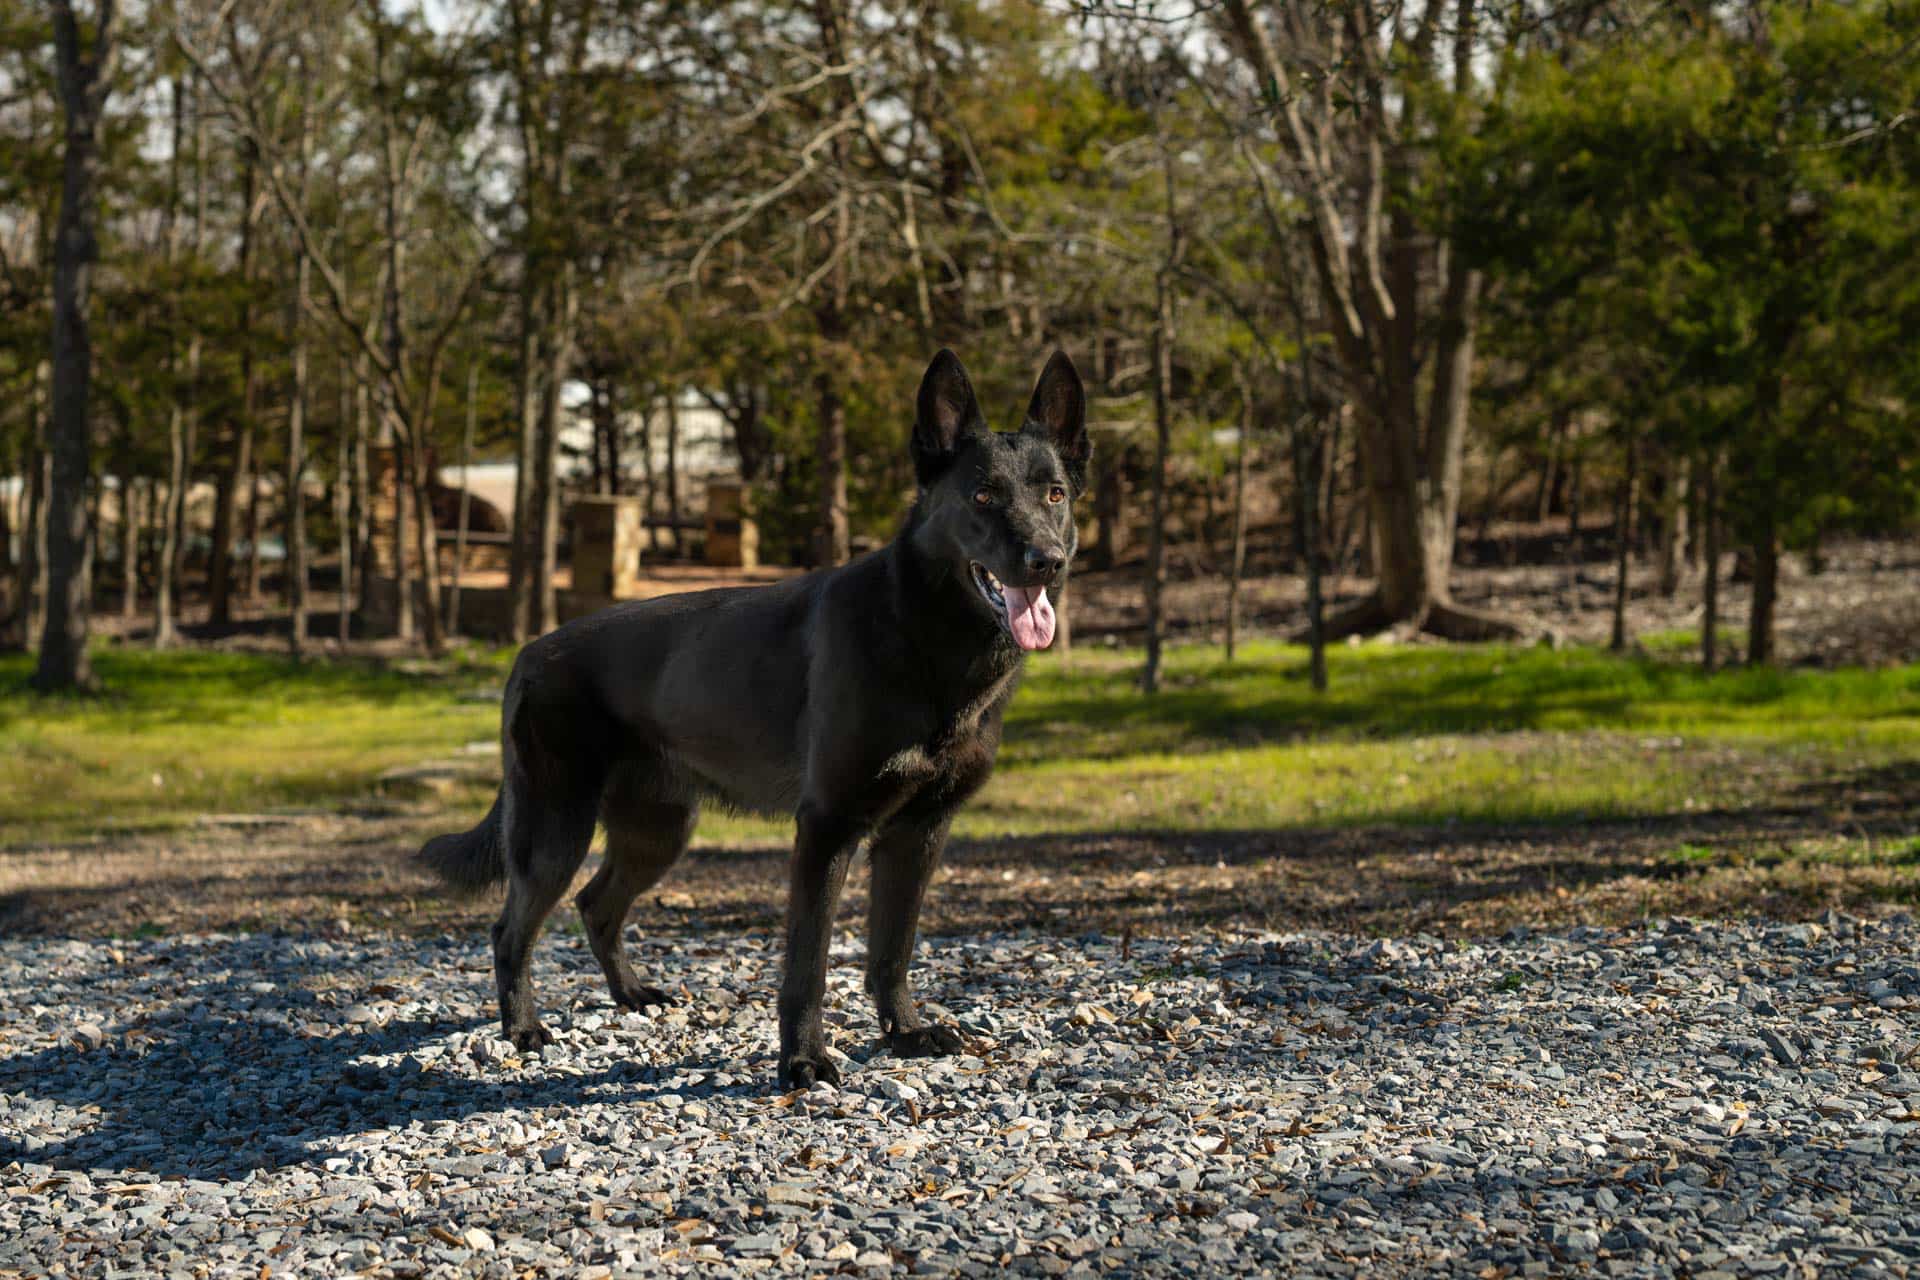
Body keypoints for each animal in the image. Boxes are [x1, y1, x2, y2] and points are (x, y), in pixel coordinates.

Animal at [418, 348, 1089, 1088]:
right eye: (982, 498)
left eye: (1055, 496)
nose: (1047, 560)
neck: (927, 636)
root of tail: (528, 653)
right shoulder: (827, 829)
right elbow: (808, 963)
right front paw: (803, 1060)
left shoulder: (918, 835)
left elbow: (893, 949)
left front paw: (905, 1033)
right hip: (554, 832)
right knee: (511, 929)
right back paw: (523, 1029)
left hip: (659, 832)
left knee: (596, 905)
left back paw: (630, 995)